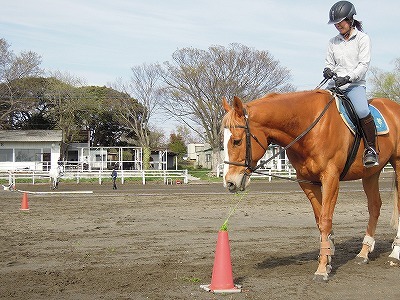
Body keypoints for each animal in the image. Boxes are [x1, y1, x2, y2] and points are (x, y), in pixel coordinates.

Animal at [222, 90, 400, 282]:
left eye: (237, 141)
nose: (229, 182)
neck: (310, 126)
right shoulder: (307, 182)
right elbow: (319, 219)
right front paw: (327, 257)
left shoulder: (330, 178)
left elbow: (325, 219)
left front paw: (322, 269)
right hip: (370, 173)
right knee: (374, 206)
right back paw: (364, 252)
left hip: (397, 165)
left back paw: (395, 253)